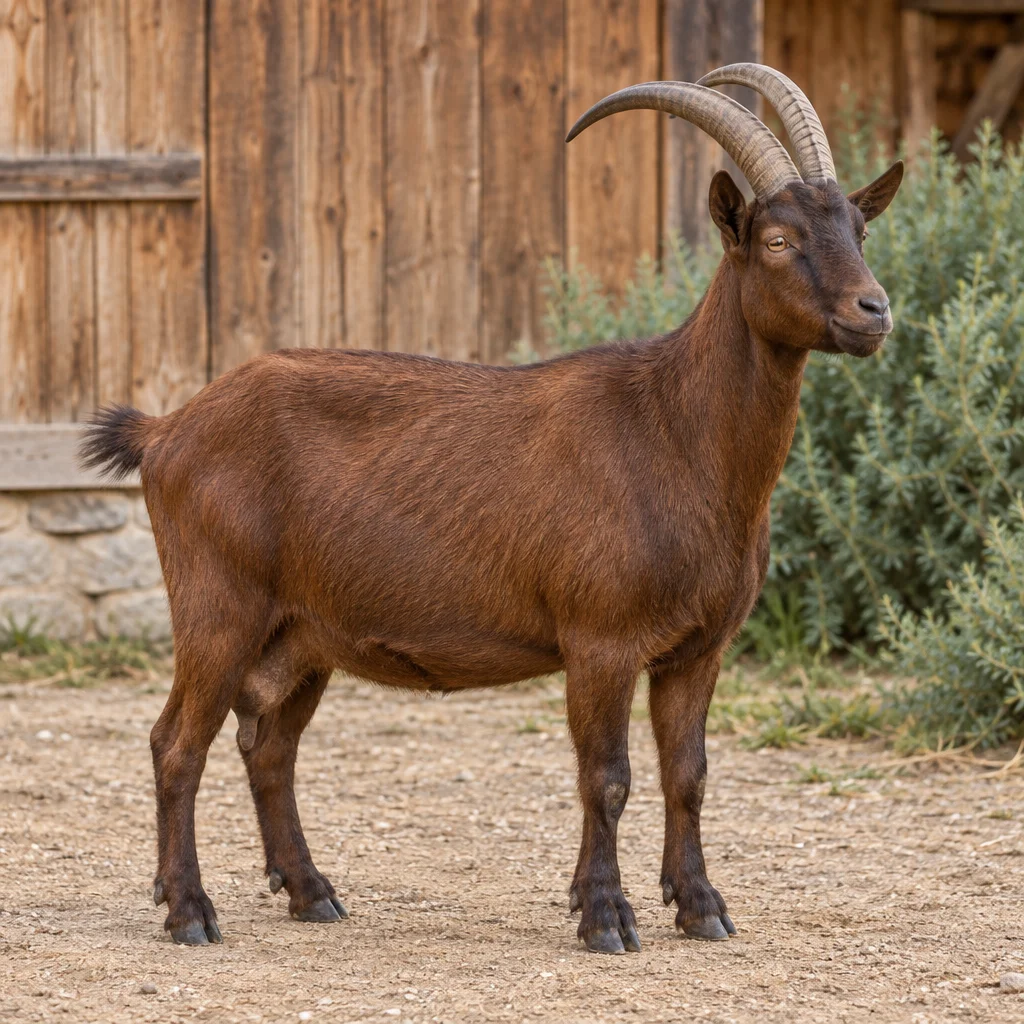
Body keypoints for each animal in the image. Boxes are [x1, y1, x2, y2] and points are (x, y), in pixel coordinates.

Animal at [81, 64, 903, 954]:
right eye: (778, 240)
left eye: (858, 227)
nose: (873, 311)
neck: (673, 431)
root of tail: (166, 432)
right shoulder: (600, 639)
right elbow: (606, 778)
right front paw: (606, 918)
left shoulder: (697, 649)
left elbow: (688, 775)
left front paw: (701, 908)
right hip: (217, 608)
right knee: (176, 745)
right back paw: (190, 912)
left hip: (301, 635)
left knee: (269, 749)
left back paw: (310, 892)